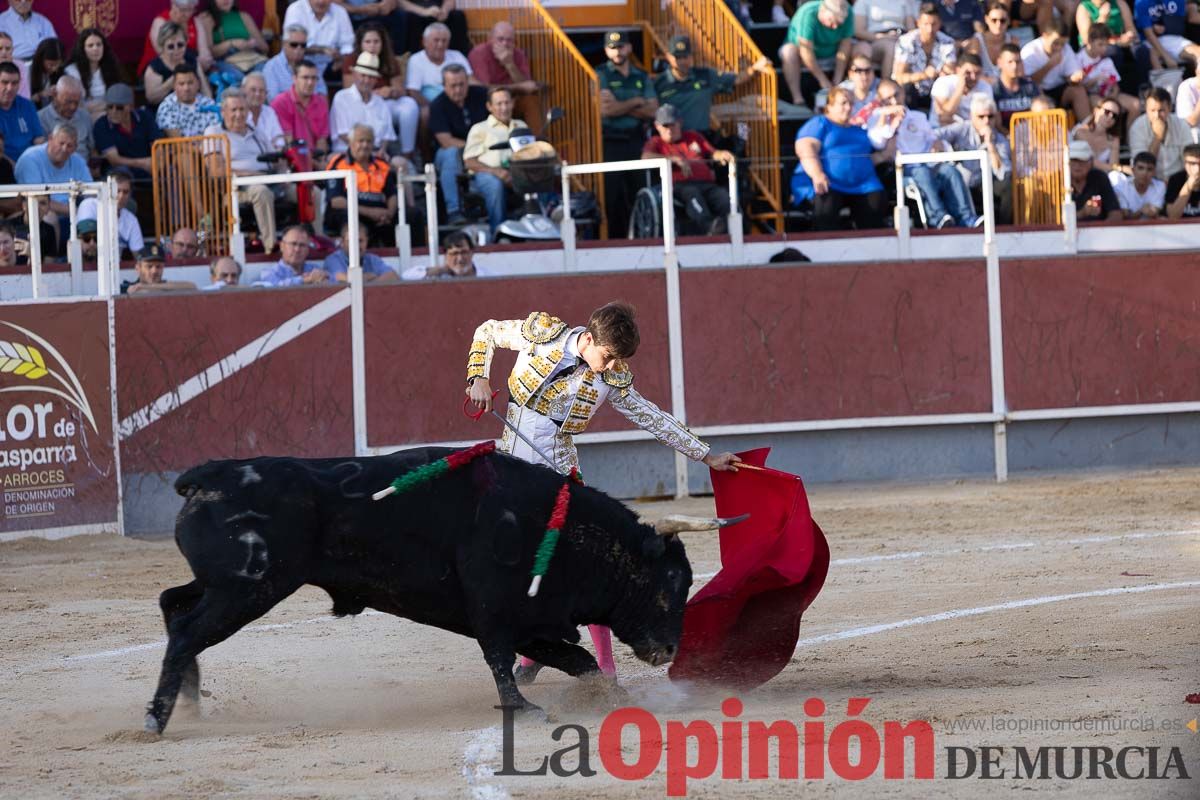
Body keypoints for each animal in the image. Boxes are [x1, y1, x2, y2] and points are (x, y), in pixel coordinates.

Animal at [147, 448, 696, 734]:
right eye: (670, 581)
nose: (670, 648)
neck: (555, 528)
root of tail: (210, 474)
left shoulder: (531, 623)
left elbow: (577, 660)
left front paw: (613, 697)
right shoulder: (495, 613)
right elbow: (500, 661)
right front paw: (523, 709)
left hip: (225, 586)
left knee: (173, 605)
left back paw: (190, 701)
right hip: (247, 590)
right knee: (187, 631)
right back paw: (157, 718)